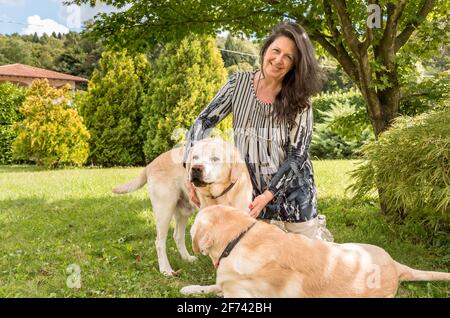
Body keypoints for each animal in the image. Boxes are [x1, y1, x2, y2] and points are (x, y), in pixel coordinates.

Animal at [111, 139, 253, 276]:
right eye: (195, 157)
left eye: (215, 158)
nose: (195, 168)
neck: (221, 194)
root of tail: (151, 163)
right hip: (164, 210)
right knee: (159, 242)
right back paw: (165, 269)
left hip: (183, 211)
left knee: (177, 236)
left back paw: (187, 258)